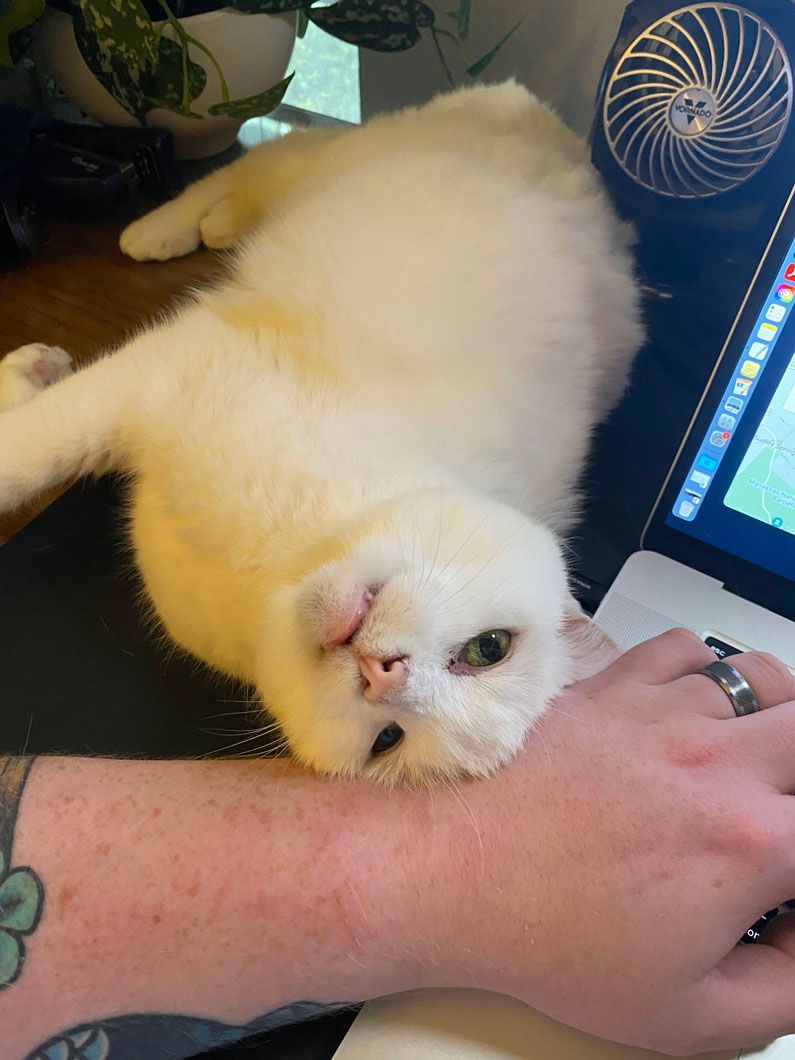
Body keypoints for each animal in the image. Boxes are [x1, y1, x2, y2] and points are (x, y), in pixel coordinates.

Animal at [0, 82, 640, 784]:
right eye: (489, 647)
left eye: (388, 739)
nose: (385, 673)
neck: (278, 557)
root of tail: (549, 125)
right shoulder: (166, 367)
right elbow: (26, 450)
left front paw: (29, 372)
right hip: (324, 162)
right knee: (254, 160)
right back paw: (160, 229)